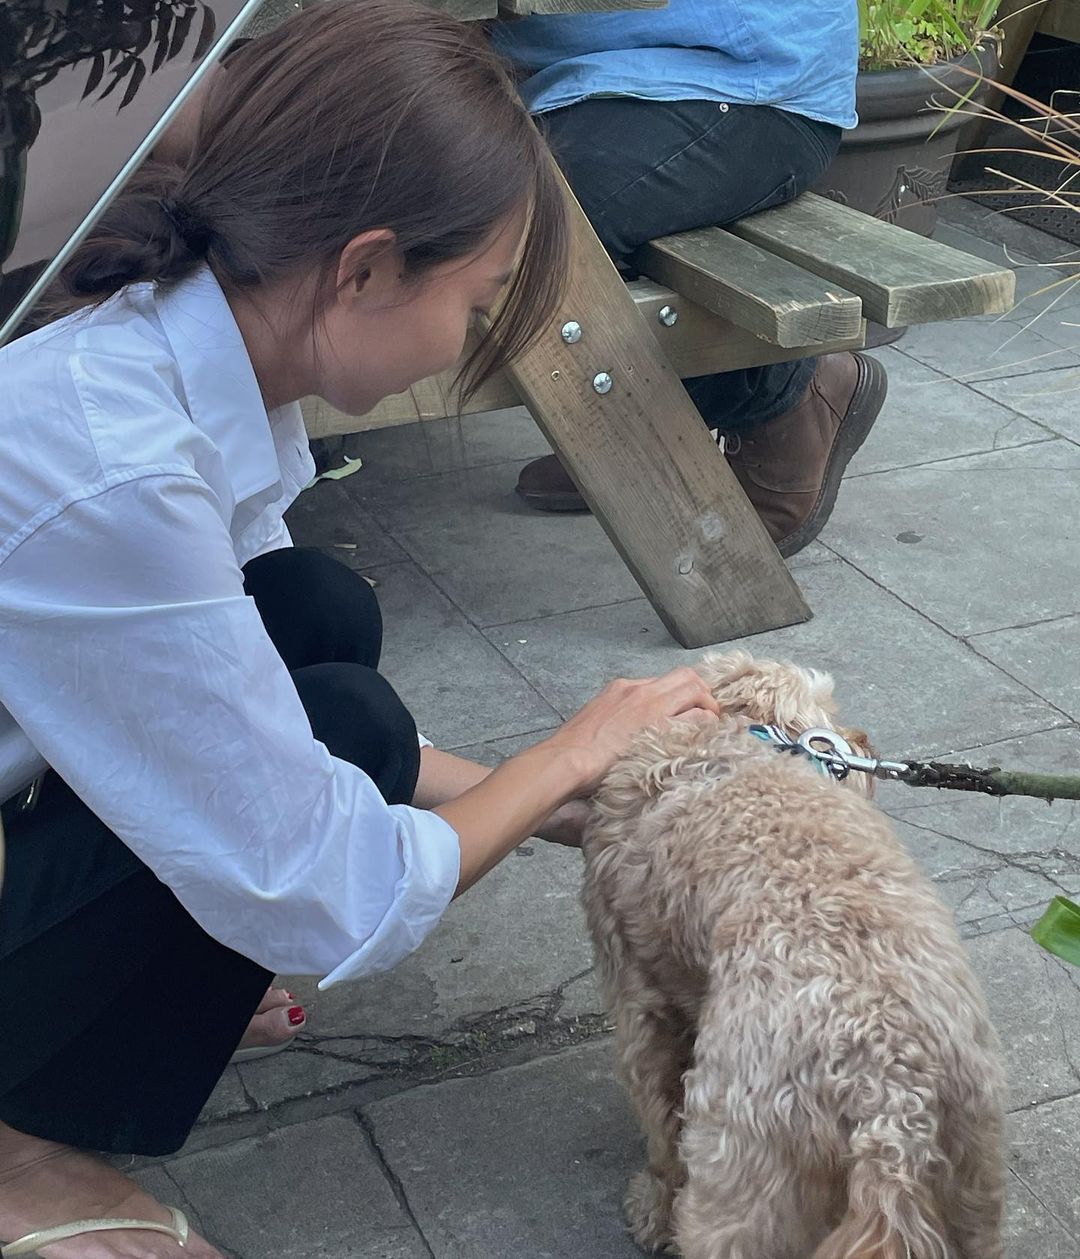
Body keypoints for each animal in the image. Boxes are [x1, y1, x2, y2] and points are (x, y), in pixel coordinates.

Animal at [582, 651, 1005, 1259]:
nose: (863, 740)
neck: (738, 735)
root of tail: (890, 1096)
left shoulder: (641, 1005)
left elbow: (660, 1122)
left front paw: (654, 1207)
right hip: (970, 1177)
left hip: (743, 1186)